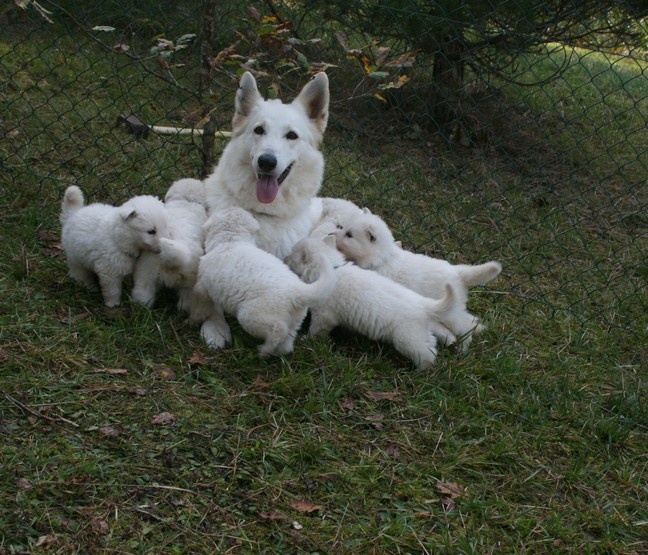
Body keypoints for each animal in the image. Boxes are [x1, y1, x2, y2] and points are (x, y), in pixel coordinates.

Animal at [130, 180, 204, 314]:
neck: (186, 201)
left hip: (146, 272)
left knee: (143, 292)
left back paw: (141, 308)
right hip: (189, 282)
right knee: (187, 300)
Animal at [192, 206, 336, 358]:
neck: (230, 241)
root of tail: (298, 291)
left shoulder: (202, 286)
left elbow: (201, 304)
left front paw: (193, 319)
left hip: (251, 315)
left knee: (277, 331)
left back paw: (263, 351)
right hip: (296, 320)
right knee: (287, 343)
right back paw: (274, 352)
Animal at [334, 208, 502, 348]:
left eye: (349, 235)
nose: (333, 235)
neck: (383, 256)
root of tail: (458, 273)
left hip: (450, 312)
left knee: (465, 325)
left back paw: (463, 347)